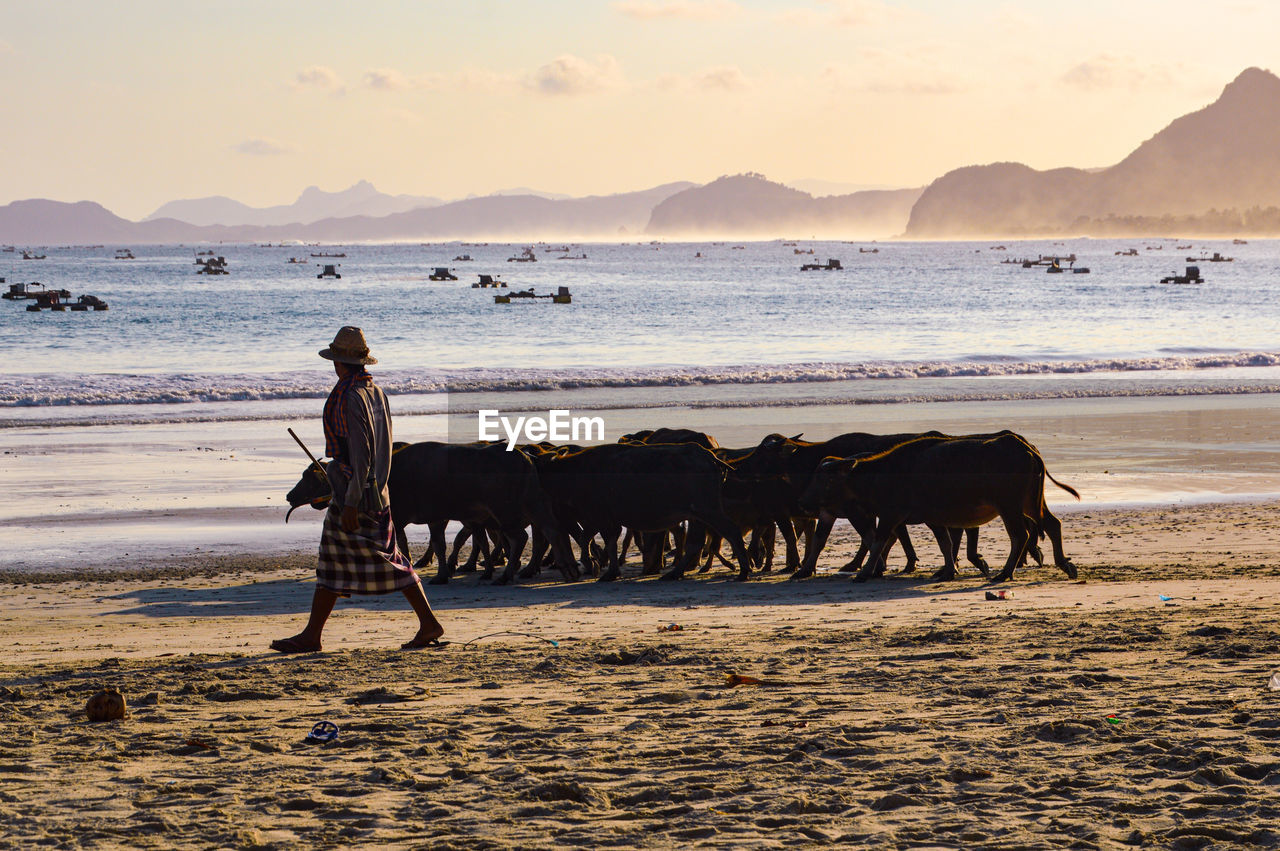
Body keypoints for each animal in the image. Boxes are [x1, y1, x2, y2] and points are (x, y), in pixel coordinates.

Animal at [803, 435, 1075, 580]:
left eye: (825, 479)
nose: (805, 503)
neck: (882, 474)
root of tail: (1026, 448)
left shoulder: (890, 516)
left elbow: (878, 542)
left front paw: (864, 572)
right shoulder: (931, 518)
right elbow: (945, 542)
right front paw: (948, 570)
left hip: (1010, 507)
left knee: (1021, 535)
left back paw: (1005, 573)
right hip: (1031, 503)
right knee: (1052, 525)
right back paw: (1064, 564)